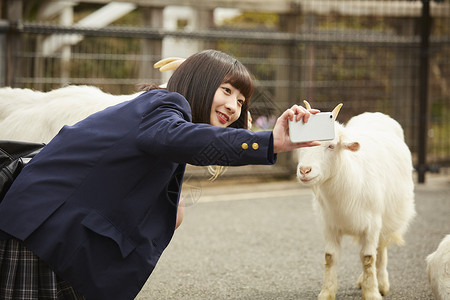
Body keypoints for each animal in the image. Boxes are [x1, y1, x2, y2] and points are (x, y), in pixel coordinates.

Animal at [298, 101, 416, 300]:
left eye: (331, 146)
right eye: (300, 145)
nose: (305, 170)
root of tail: (375, 114)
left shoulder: (372, 224)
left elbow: (368, 258)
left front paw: (372, 293)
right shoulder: (329, 225)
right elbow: (330, 257)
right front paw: (327, 292)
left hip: (387, 217)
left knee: (380, 249)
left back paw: (382, 283)